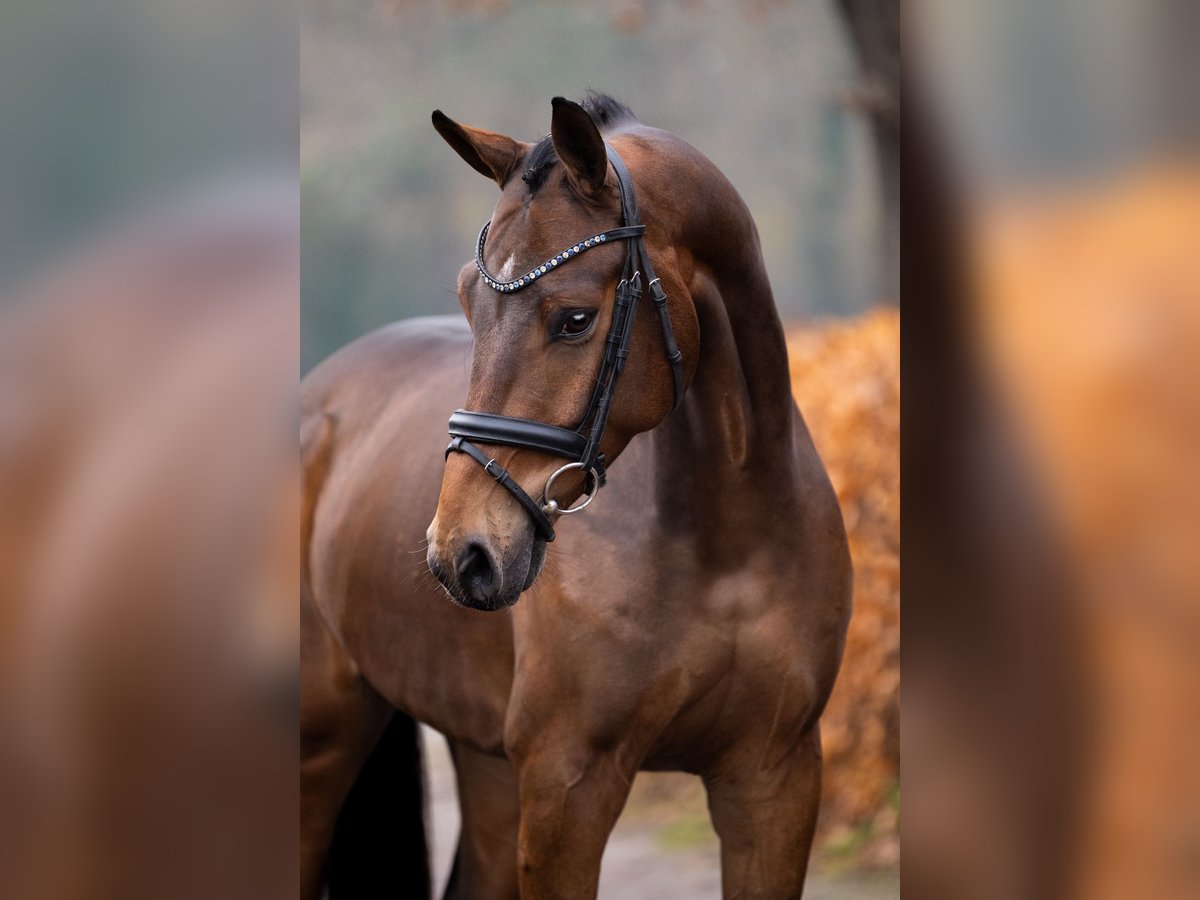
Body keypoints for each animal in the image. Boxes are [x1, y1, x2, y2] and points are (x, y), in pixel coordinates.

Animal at [300, 94, 852, 899]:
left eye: (575, 318)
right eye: (468, 298)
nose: (462, 552)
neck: (727, 546)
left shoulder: (773, 782)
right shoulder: (568, 786)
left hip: (489, 766)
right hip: (324, 745)